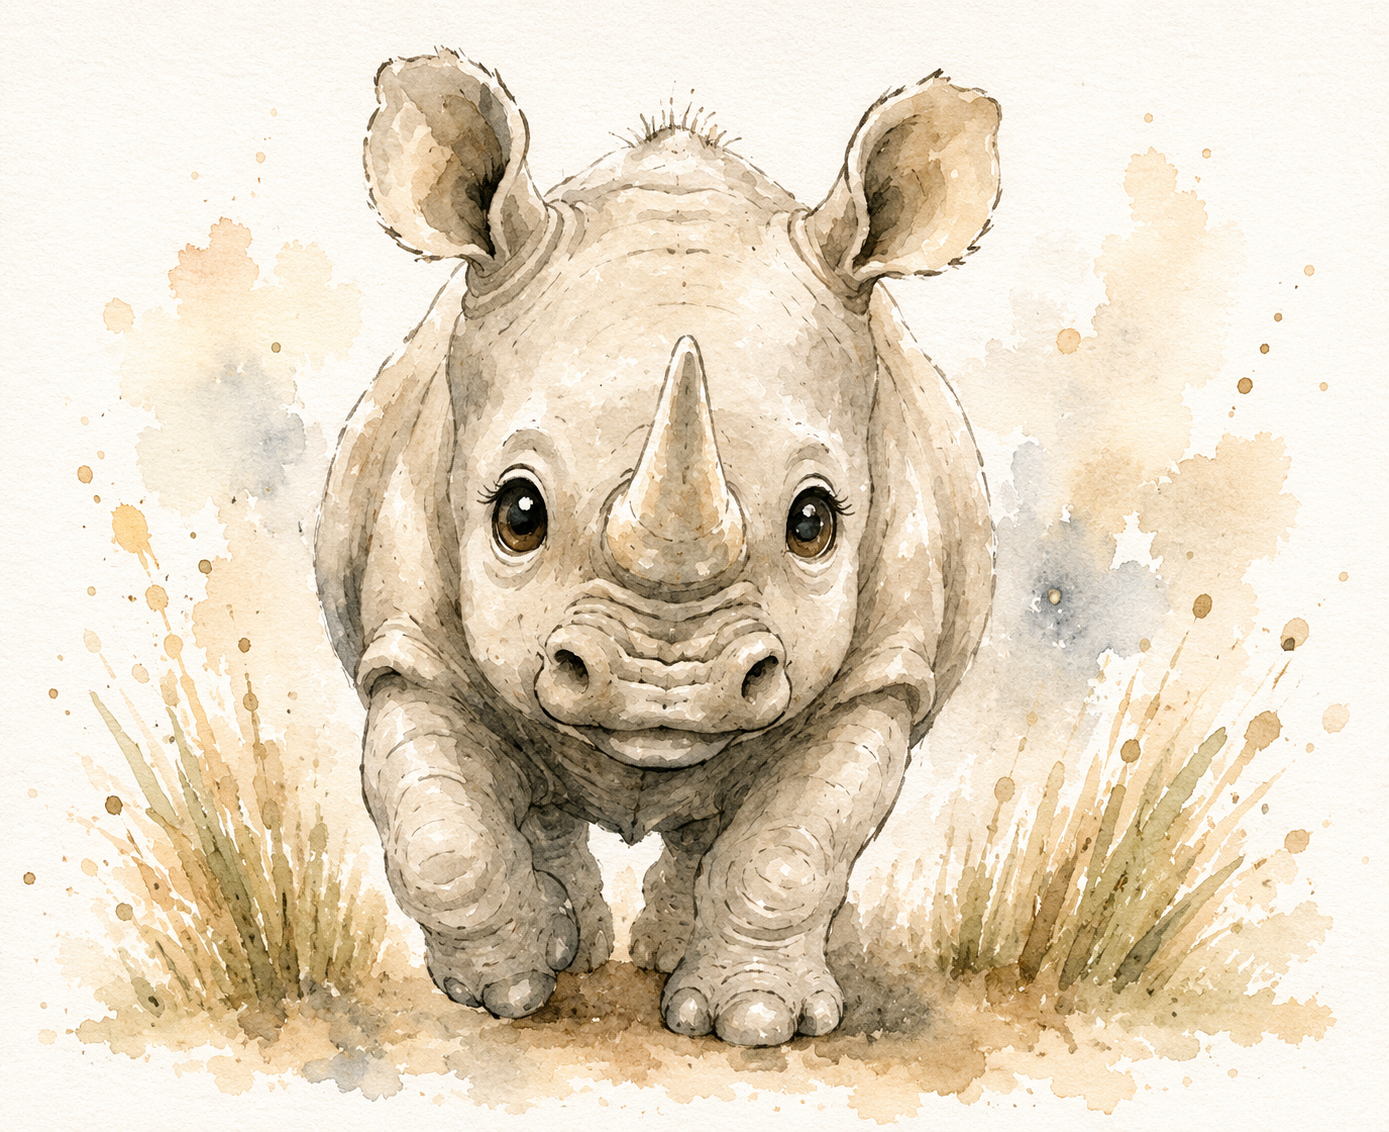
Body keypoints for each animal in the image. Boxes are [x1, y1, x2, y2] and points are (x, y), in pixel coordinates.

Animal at [316, 49, 998, 1047]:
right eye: (517, 513)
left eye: (813, 522)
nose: (663, 687)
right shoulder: (409, 640)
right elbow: (441, 838)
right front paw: (506, 988)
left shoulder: (884, 669)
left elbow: (793, 847)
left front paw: (752, 1021)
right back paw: (572, 949)